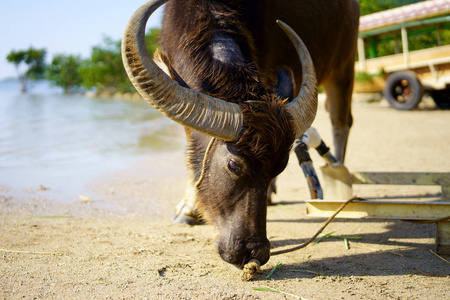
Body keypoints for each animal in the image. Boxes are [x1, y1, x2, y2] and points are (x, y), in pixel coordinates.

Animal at [122, 0, 358, 268]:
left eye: (280, 167)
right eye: (233, 165)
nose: (255, 252)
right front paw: (188, 208)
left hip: (345, 66)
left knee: (340, 121)